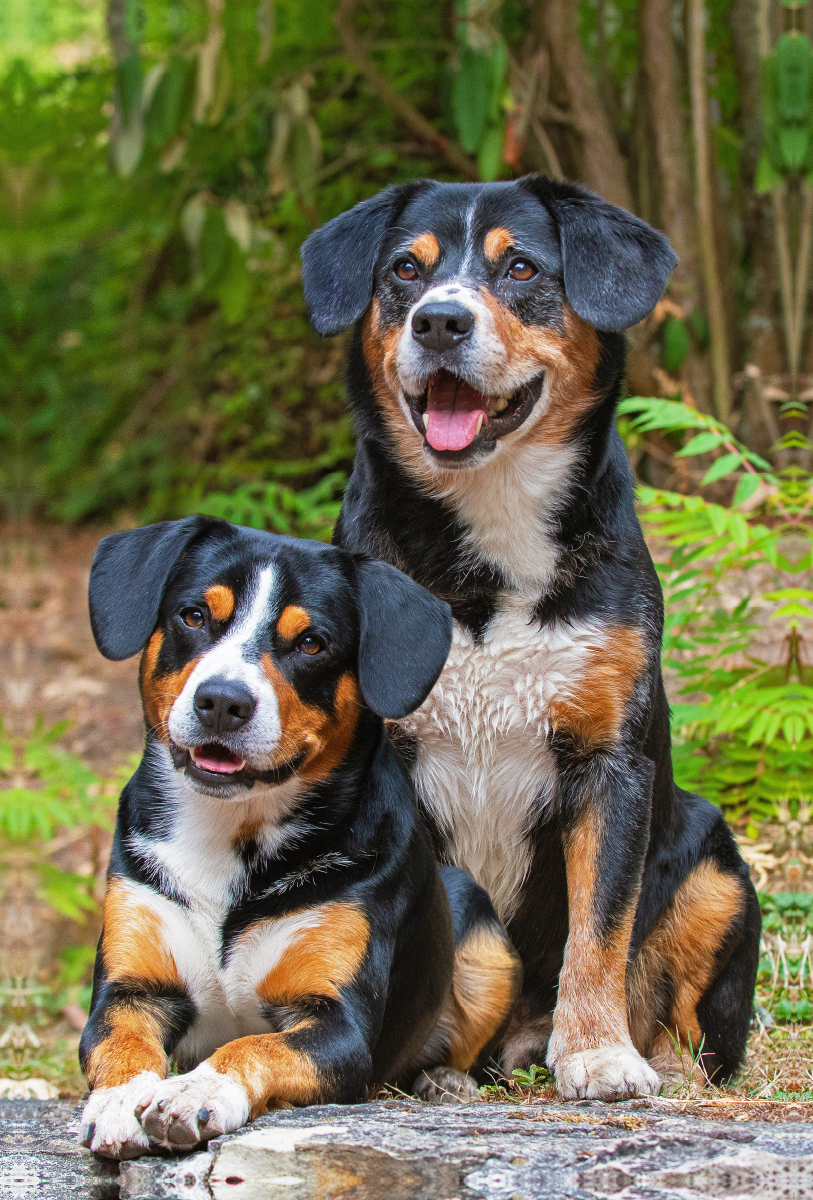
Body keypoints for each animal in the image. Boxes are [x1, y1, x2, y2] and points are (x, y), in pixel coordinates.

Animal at [77, 518, 522, 1161]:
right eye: (193, 616)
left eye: (311, 643)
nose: (222, 701)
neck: (230, 834)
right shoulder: (132, 984)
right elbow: (119, 1043)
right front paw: (119, 1100)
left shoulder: (338, 1027)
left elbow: (251, 1047)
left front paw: (195, 1091)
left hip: (489, 950)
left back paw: (446, 1079)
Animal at [304, 174, 762, 1099]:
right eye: (405, 270)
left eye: (518, 267)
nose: (439, 321)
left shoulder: (608, 764)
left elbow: (599, 930)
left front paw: (594, 1051)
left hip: (713, 861)